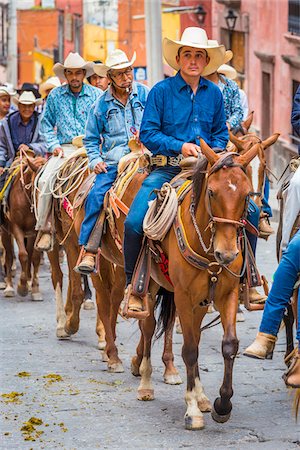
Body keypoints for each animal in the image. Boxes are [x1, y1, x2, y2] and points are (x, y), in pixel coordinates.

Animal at [0, 153, 45, 300]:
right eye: (38, 186)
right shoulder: (16, 228)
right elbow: (23, 255)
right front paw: (22, 286)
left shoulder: (35, 231)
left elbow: (34, 256)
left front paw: (34, 288)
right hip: (5, 231)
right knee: (8, 255)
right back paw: (9, 286)